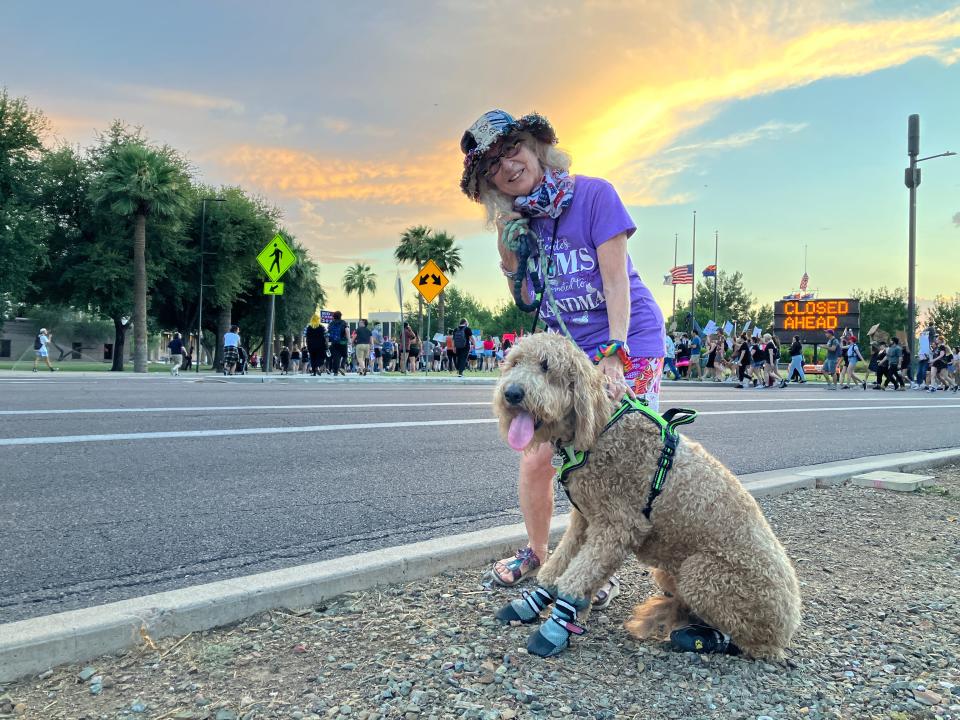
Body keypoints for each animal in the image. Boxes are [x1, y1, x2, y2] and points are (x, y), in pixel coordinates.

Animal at [492, 332, 800, 660]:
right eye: (513, 363)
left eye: (546, 366)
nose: (512, 393)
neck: (600, 428)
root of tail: (787, 629)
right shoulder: (585, 519)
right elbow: (560, 564)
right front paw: (535, 601)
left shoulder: (618, 527)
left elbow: (576, 577)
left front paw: (555, 627)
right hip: (670, 573)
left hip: (702, 573)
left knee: (746, 643)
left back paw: (701, 637)